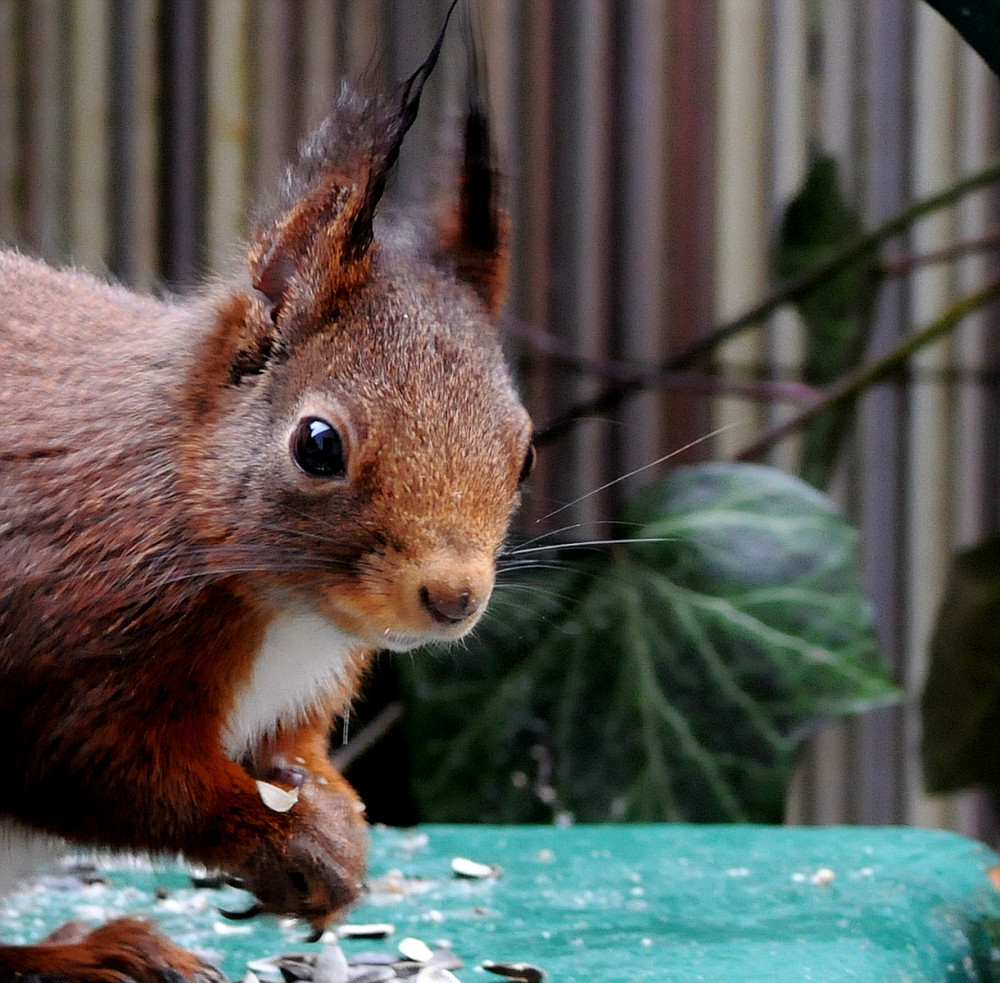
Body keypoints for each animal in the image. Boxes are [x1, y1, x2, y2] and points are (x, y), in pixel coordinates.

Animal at [0, 11, 536, 980]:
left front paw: (341, 830)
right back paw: (84, 952)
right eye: (317, 444)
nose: (453, 597)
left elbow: (293, 756)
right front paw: (283, 841)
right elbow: (108, 771)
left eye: (526, 455)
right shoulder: (62, 632)